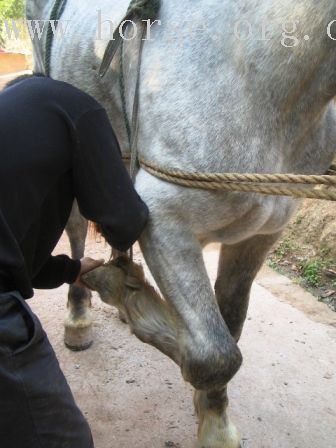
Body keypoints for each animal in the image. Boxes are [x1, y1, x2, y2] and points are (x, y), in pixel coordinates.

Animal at [26, 0, 336, 448]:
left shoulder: (259, 237)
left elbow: (229, 327)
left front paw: (210, 411)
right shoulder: (167, 225)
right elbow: (211, 356)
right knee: (78, 233)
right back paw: (81, 315)